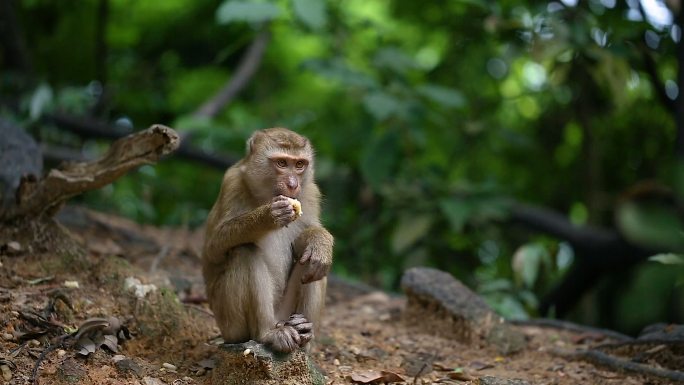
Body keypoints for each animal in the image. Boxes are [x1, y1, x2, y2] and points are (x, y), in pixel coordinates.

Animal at [200, 127, 334, 352]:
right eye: (282, 163)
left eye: (299, 164)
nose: (293, 184)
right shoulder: (232, 182)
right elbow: (213, 249)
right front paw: (268, 216)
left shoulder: (310, 192)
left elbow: (305, 241)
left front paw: (319, 242)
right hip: (230, 324)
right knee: (244, 251)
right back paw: (268, 334)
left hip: (285, 311)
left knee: (314, 266)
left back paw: (305, 333)